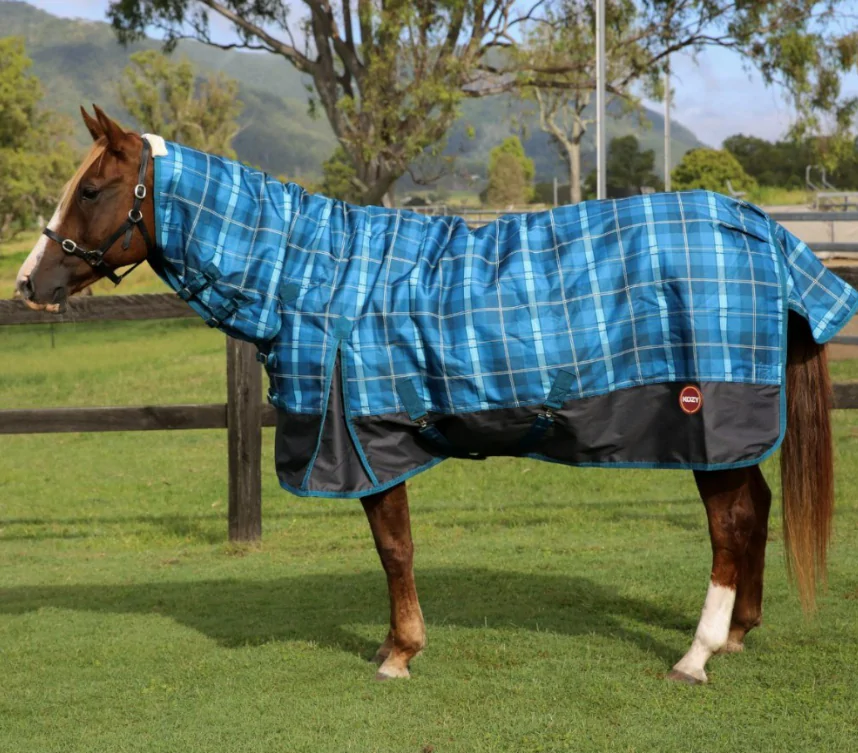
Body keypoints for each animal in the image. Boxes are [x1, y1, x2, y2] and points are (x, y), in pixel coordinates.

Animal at [16, 105, 858, 684]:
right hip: (725, 432)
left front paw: (399, 651)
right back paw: (740, 631)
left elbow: (395, 547)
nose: (29, 283)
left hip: (704, 416)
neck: (313, 276)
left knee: (733, 522)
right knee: (755, 509)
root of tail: (757, 227)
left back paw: (697, 653)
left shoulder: (367, 441)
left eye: (93, 188)